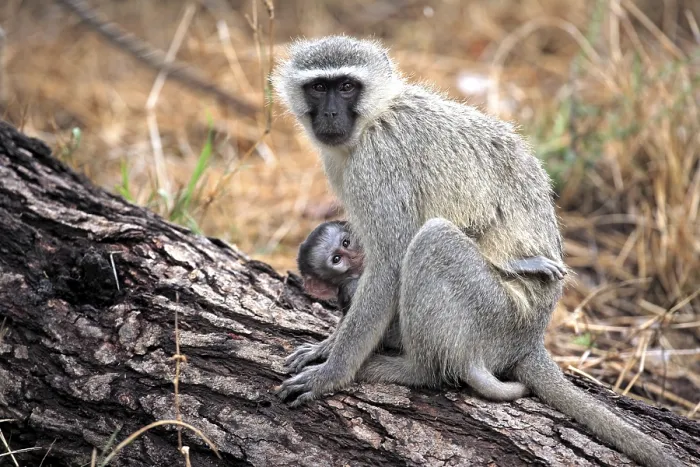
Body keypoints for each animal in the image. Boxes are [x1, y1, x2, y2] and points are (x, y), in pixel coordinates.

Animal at [271, 36, 682, 467]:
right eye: (319, 87)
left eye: (347, 86)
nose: (331, 112)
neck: (375, 116)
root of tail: (530, 339)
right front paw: (326, 347)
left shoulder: (377, 163)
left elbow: (387, 266)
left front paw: (332, 373)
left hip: (497, 314)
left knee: (432, 241)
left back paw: (416, 370)